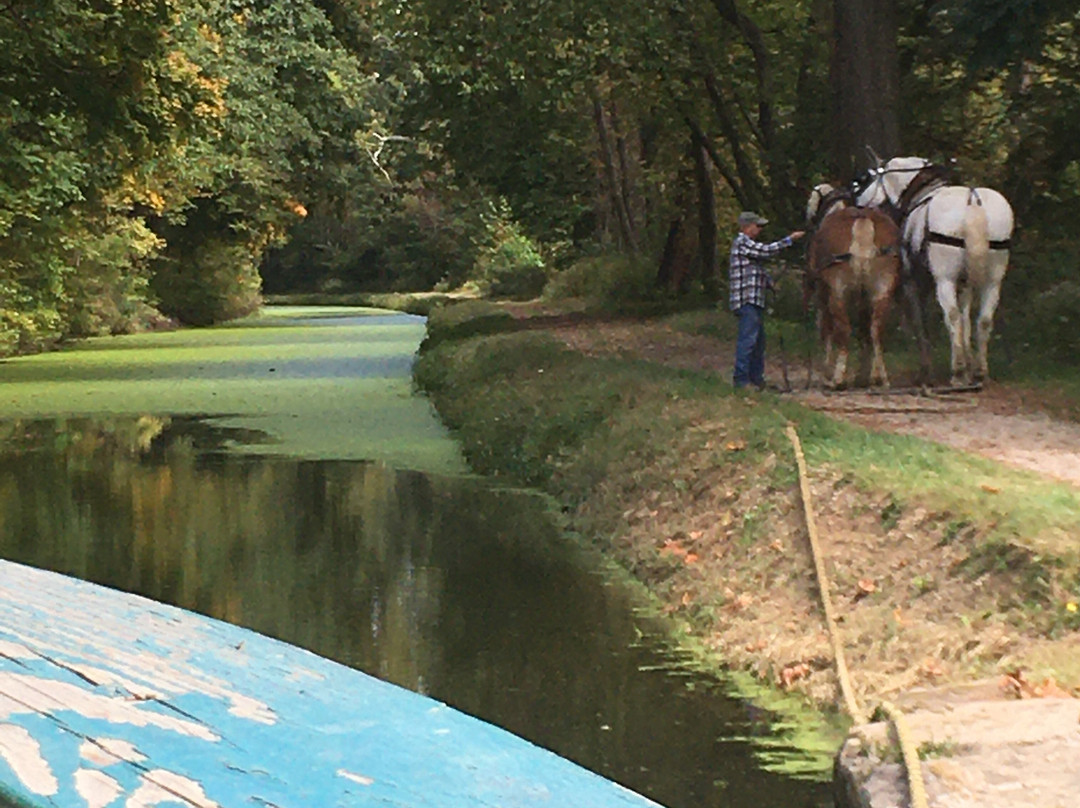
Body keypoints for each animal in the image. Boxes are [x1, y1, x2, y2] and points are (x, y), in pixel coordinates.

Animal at [803, 190, 902, 391]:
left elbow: (827, 331)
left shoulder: (823, 295)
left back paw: (837, 378)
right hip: (882, 291)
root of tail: (863, 220)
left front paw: (826, 372)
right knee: (876, 330)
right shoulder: (864, 299)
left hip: (837, 293)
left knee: (844, 330)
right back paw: (879, 377)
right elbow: (864, 332)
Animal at [851, 158, 1010, 388]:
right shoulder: (964, 284)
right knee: (984, 320)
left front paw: (927, 371)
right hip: (993, 280)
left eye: (874, 179)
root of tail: (972, 200)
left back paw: (957, 373)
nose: (859, 201)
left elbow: (920, 323)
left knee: (951, 315)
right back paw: (980, 373)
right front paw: (968, 364)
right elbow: (965, 321)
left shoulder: (913, 283)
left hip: (944, 279)